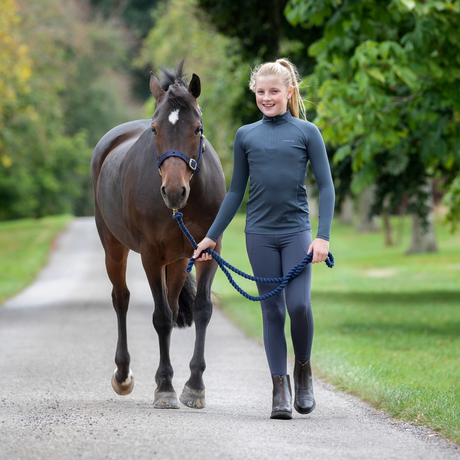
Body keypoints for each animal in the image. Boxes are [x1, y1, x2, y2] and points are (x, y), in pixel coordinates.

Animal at [90, 62, 226, 410]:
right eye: (155, 130)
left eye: (197, 129)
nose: (174, 192)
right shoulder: (151, 255)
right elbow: (162, 318)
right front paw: (165, 387)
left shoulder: (208, 251)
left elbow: (201, 310)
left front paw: (194, 386)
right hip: (114, 248)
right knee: (121, 298)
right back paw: (123, 374)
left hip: (177, 260)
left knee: (173, 302)